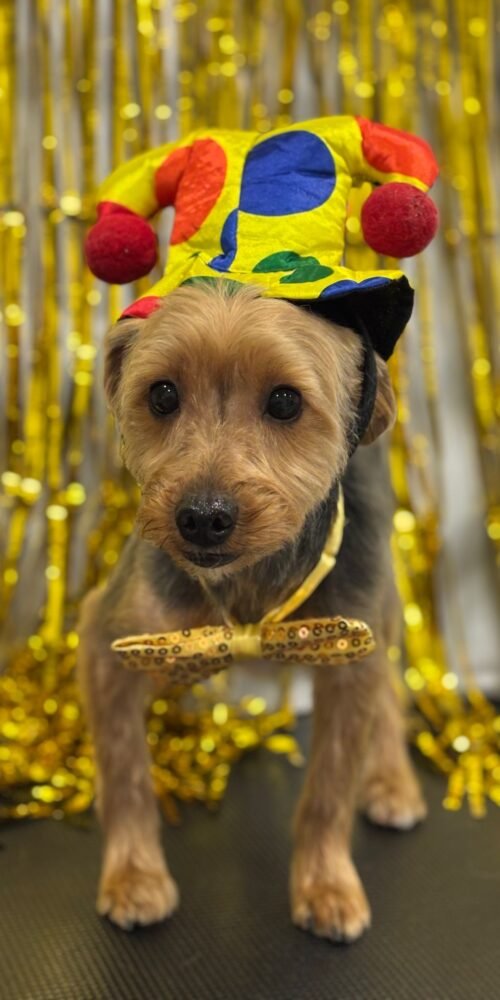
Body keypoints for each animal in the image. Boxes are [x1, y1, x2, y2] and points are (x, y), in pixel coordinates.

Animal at [77, 280, 426, 936]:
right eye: (162, 394)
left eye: (285, 402)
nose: (202, 517)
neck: (248, 588)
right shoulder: (111, 640)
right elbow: (126, 772)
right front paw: (134, 878)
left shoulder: (351, 648)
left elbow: (329, 789)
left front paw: (326, 885)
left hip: (380, 603)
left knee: (391, 687)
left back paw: (392, 780)